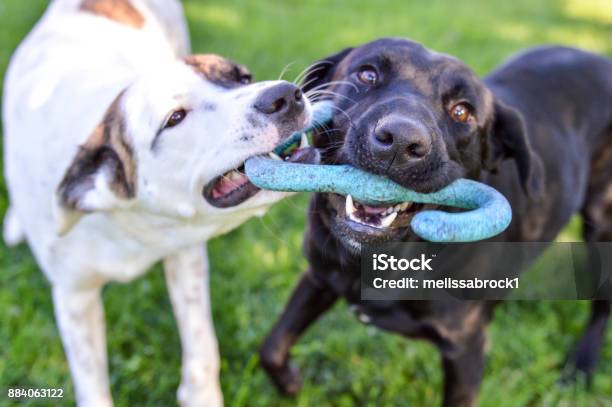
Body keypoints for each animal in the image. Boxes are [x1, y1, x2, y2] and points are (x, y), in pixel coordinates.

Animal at [2, 1, 310, 406]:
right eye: (175, 118)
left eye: (243, 78)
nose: (285, 95)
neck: (125, 219)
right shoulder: (73, 297)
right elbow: (91, 380)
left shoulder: (186, 253)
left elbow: (201, 346)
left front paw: (201, 397)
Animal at [260, 36, 612, 406]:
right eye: (367, 74)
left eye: (462, 111)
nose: (400, 141)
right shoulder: (319, 276)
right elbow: (271, 347)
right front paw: (291, 384)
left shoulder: (466, 348)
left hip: (602, 228)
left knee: (602, 305)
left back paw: (582, 365)